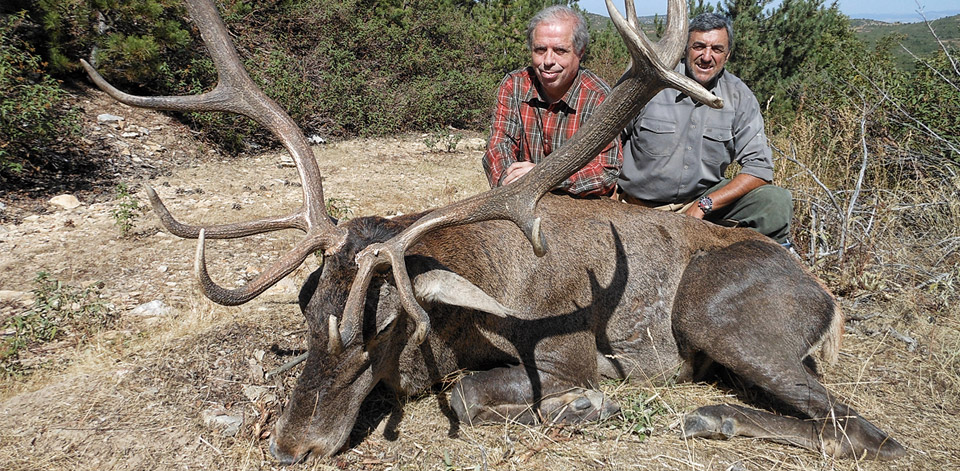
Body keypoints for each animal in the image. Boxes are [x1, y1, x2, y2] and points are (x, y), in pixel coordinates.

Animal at [84, 0, 908, 464]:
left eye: (381, 327)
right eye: (307, 310)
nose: (290, 447)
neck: (461, 318)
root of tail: (831, 301)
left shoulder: (569, 356)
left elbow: (468, 397)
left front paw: (588, 407)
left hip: (718, 312)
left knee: (870, 432)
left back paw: (712, 418)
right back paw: (713, 413)